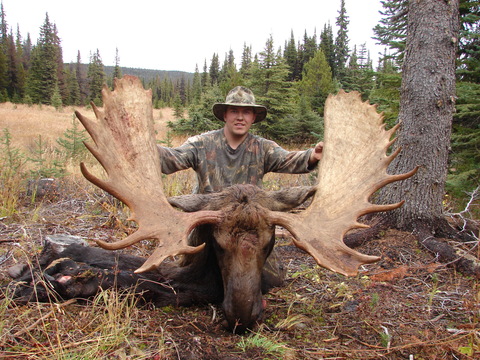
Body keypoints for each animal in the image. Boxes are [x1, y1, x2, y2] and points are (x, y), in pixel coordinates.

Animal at [9, 76, 418, 334]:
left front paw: (58, 274)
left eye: (271, 241)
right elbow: (140, 276)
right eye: (215, 243)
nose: (242, 315)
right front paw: (58, 275)